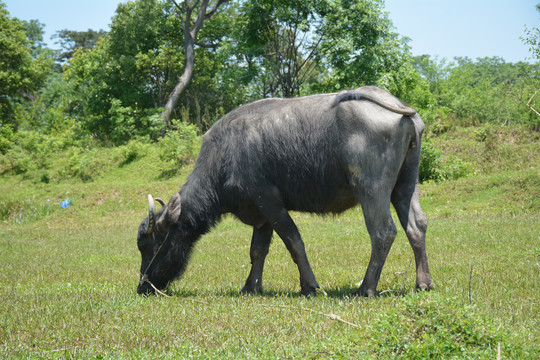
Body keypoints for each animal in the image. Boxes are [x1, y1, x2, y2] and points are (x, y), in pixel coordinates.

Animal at [136, 86, 434, 296]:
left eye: (153, 244)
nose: (143, 286)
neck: (224, 156)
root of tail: (398, 106)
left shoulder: (269, 202)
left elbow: (293, 241)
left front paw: (309, 286)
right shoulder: (261, 213)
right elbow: (257, 250)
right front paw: (251, 287)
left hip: (371, 188)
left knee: (383, 232)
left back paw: (365, 288)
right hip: (406, 183)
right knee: (416, 225)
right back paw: (423, 283)